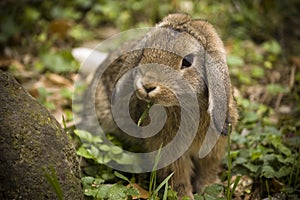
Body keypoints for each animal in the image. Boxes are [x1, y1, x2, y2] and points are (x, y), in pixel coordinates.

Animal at [82, 13, 239, 199]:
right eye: (144, 53)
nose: (147, 86)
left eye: (187, 62)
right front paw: (185, 196)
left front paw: (211, 189)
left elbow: (208, 170)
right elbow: (177, 177)